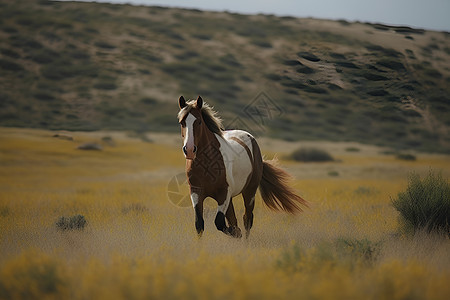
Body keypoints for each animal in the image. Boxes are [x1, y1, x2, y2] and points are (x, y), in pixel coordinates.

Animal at [178, 95, 308, 238]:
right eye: (182, 122)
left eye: (199, 122)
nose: (190, 150)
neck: (207, 165)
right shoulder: (196, 193)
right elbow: (200, 224)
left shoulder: (224, 193)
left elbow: (220, 222)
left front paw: (237, 233)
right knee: (234, 219)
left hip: (249, 192)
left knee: (247, 219)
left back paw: (244, 239)